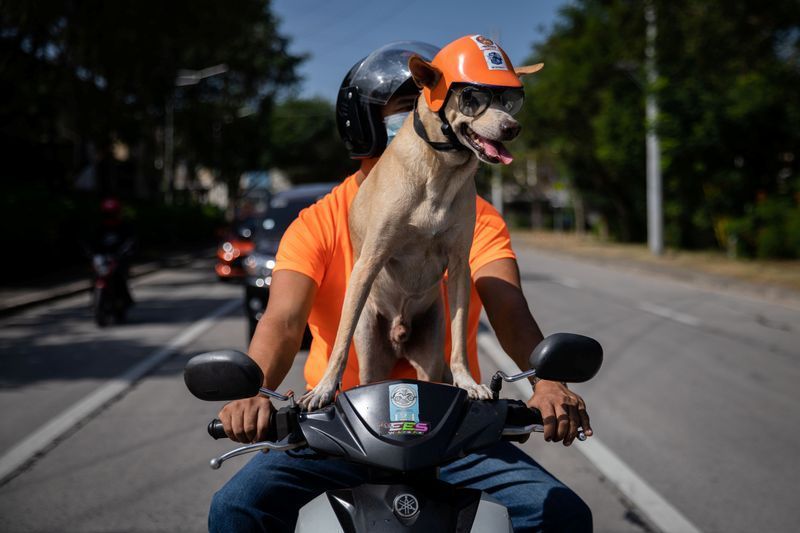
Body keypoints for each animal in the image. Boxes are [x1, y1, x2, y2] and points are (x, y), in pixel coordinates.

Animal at [300, 40, 544, 412]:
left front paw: (468, 382)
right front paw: (326, 387)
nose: (512, 128)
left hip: (429, 344)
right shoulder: (370, 260)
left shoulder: (459, 266)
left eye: (510, 101)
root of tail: (400, 334)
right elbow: (340, 342)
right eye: (472, 98)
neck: (439, 173)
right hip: (371, 347)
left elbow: (459, 339)